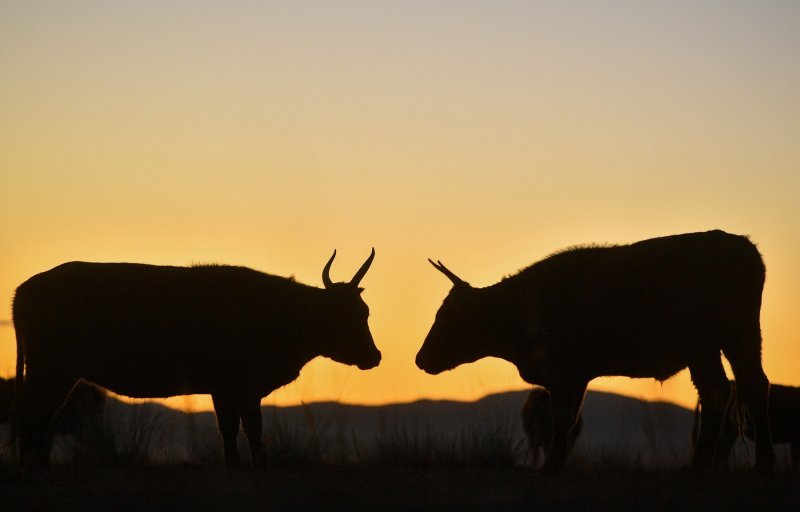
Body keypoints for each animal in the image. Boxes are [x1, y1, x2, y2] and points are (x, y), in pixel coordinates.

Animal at [11, 250, 382, 470]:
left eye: (364, 311)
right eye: (353, 315)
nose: (375, 356)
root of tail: (22, 290)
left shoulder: (231, 389)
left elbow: (237, 429)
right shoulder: (236, 386)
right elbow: (245, 428)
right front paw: (249, 466)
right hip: (50, 370)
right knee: (33, 414)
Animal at [418, 230, 776, 474]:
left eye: (446, 318)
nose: (420, 359)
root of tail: (738, 244)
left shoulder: (569, 376)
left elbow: (563, 420)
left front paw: (552, 467)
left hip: (724, 340)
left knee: (738, 388)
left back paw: (744, 464)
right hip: (718, 346)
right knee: (728, 390)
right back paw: (711, 465)